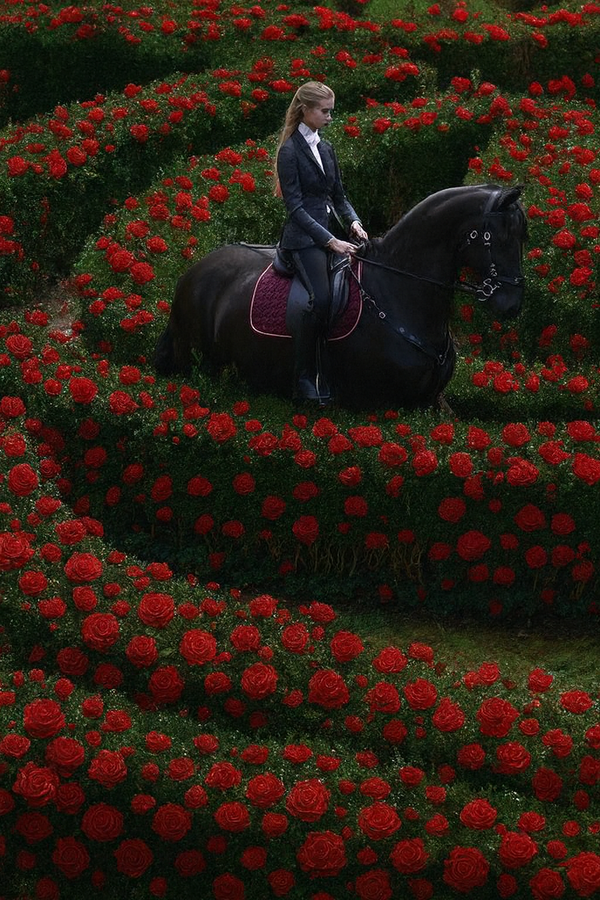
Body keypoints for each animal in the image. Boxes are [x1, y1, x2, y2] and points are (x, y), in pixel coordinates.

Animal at [153, 183, 526, 409]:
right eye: (497, 237)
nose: (512, 304)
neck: (398, 293)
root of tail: (191, 272)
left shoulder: (433, 401)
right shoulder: (383, 405)